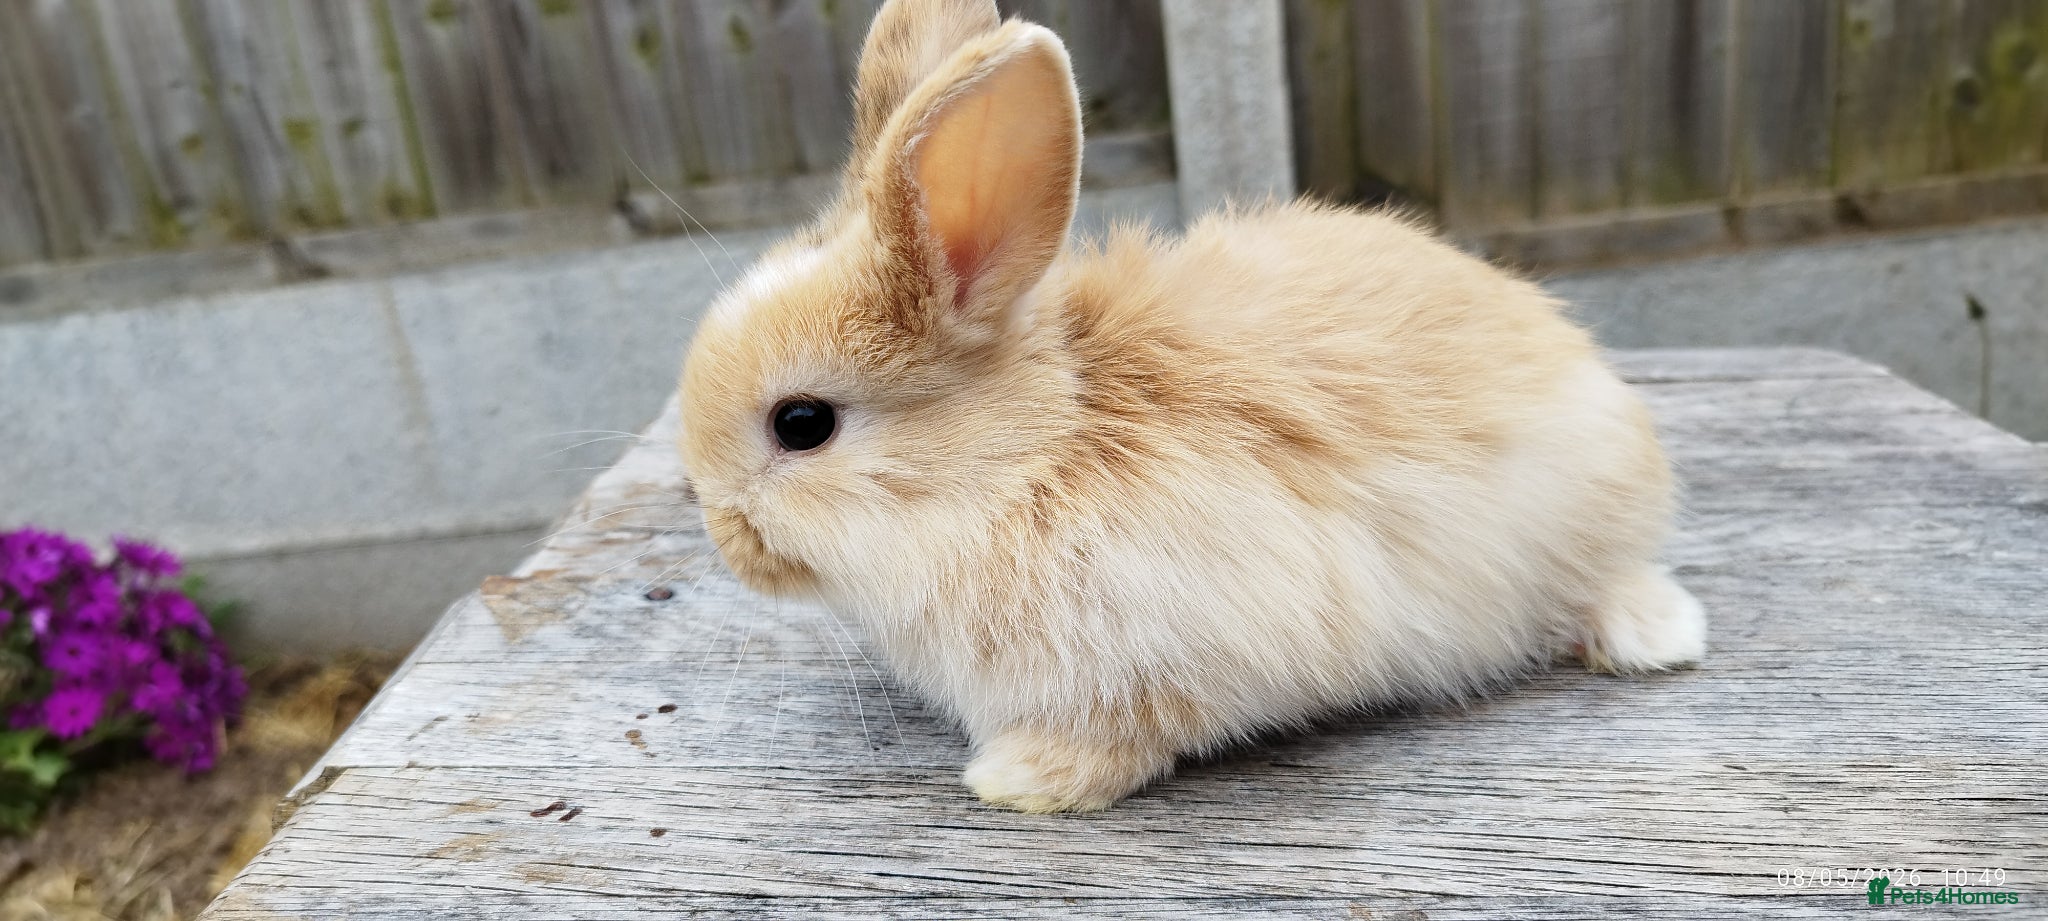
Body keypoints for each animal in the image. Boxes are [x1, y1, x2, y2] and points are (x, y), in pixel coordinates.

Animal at [676, 0, 1705, 813]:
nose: (719, 530)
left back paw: (1658, 637)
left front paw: (1020, 778)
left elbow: (1136, 729)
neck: (1028, 458)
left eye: (802, 424)